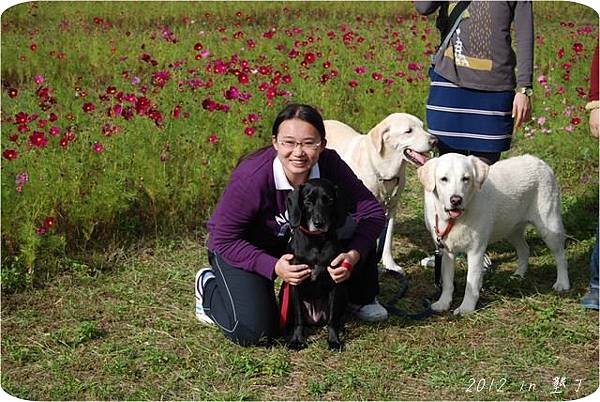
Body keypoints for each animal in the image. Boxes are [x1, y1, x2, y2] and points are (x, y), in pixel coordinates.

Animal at [284, 177, 350, 350]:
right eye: (308, 201)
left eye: (330, 201)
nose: (319, 223)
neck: (315, 241)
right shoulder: (295, 282)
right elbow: (299, 317)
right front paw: (297, 340)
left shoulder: (335, 283)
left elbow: (332, 319)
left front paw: (334, 340)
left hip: (342, 296)